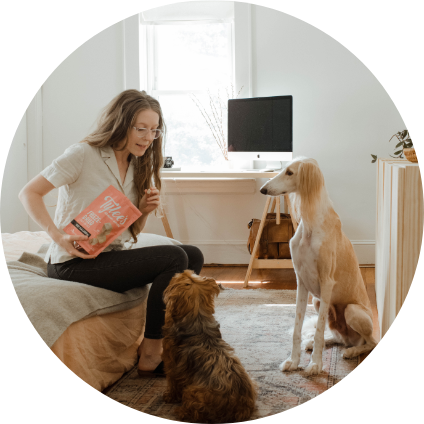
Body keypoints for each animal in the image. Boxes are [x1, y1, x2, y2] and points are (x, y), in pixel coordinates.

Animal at [161, 270, 256, 422]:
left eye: (183, 276)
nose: (182, 271)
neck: (197, 319)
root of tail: (239, 408)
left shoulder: (171, 365)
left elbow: (172, 382)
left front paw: (169, 396)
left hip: (192, 392)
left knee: (196, 412)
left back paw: (180, 411)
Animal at [262, 158, 378, 374]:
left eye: (290, 172)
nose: (263, 190)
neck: (310, 226)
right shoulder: (301, 282)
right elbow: (298, 328)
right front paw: (293, 360)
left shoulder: (326, 283)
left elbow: (318, 330)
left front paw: (315, 364)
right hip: (316, 302)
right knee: (339, 338)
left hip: (353, 311)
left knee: (370, 342)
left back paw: (352, 351)